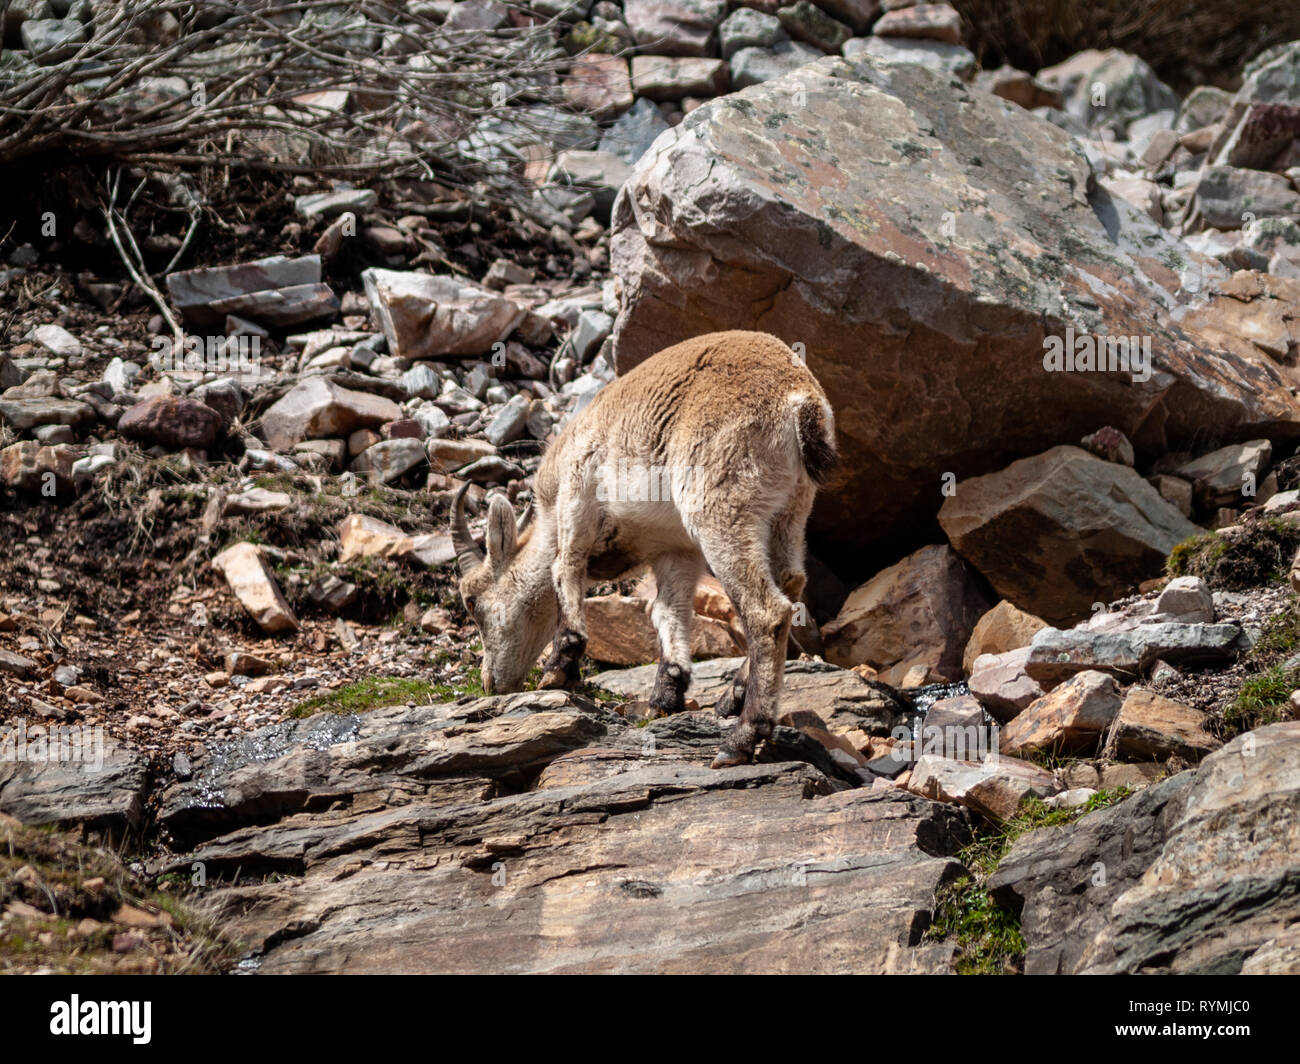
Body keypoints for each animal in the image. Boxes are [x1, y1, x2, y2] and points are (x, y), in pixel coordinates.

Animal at [452, 327, 837, 764]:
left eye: (473, 603)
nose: (491, 684)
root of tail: (799, 401)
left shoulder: (576, 493)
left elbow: (564, 567)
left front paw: (559, 667)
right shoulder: (676, 550)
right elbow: (667, 612)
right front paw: (664, 696)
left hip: (720, 506)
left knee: (767, 611)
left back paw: (741, 737)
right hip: (790, 513)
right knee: (790, 584)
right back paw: (731, 697)